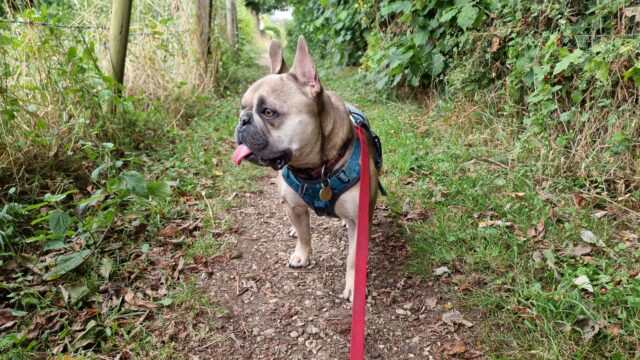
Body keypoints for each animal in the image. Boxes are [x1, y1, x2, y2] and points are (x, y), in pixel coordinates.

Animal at [231, 35, 380, 300]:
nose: (242, 119)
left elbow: (354, 257)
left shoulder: (359, 221)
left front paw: (354, 285)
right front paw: (301, 255)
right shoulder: (293, 206)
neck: (315, 170)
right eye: (242, 106)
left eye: (268, 112)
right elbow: (304, 234)